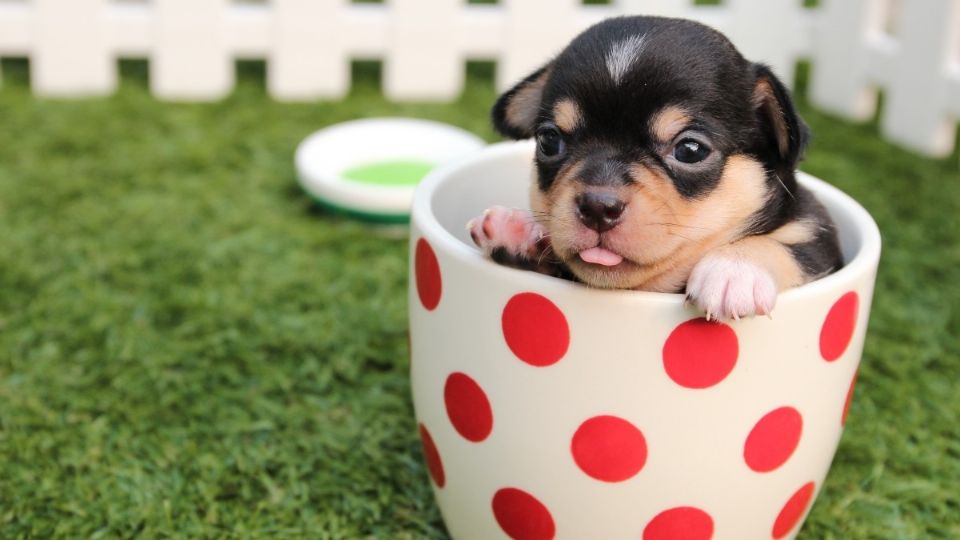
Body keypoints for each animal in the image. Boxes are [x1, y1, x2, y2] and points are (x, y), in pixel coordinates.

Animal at [468, 15, 844, 320]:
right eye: (549, 140)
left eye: (690, 150)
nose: (597, 207)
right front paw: (515, 229)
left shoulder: (819, 237)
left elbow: (789, 245)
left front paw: (734, 270)